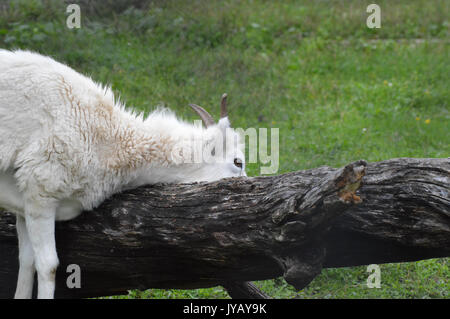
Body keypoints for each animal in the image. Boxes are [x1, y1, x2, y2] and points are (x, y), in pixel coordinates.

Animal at [0, 50, 246, 300]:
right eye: (238, 162)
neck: (108, 139)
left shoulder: (24, 206)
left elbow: (27, 262)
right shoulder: (40, 194)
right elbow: (48, 265)